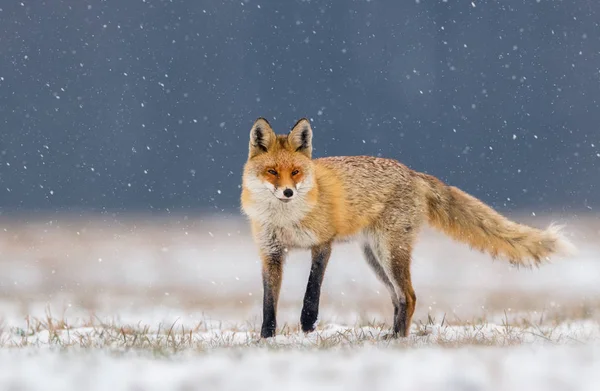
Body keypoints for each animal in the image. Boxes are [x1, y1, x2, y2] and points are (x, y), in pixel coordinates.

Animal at [240, 117, 576, 340]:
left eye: (296, 172)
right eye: (272, 172)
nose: (288, 192)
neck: (286, 219)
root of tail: (414, 173)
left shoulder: (323, 244)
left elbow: (312, 292)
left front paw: (308, 328)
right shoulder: (270, 253)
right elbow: (268, 302)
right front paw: (267, 338)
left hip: (390, 254)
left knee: (411, 296)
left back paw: (398, 340)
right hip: (376, 259)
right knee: (400, 298)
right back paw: (392, 336)